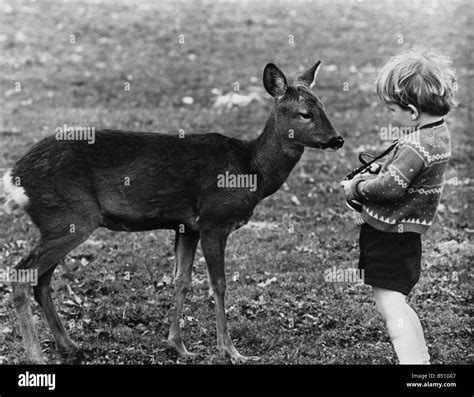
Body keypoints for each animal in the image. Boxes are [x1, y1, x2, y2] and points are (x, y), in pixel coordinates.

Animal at [3, 61, 344, 362]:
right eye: (305, 113)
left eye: (323, 106)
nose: (337, 139)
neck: (254, 171)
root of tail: (14, 176)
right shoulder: (213, 220)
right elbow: (218, 284)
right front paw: (231, 351)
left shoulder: (188, 226)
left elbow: (181, 279)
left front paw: (178, 346)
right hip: (71, 216)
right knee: (22, 273)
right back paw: (37, 356)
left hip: (60, 222)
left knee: (41, 280)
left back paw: (70, 347)